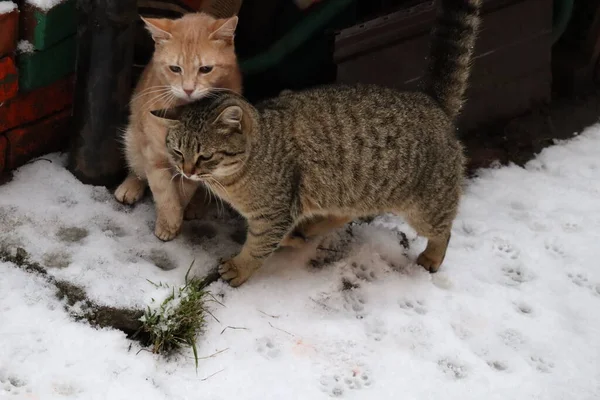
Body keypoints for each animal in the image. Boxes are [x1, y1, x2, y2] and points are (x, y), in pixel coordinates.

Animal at [115, 13, 241, 241]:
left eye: (205, 69)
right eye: (175, 68)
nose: (188, 89)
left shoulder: (197, 161)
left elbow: (184, 188)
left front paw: (175, 216)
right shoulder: (154, 154)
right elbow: (163, 190)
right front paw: (170, 220)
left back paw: (196, 206)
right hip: (133, 138)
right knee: (137, 168)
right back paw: (131, 185)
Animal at [151, 0, 482, 288]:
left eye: (205, 156)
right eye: (178, 151)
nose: (187, 171)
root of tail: (430, 101)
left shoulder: (274, 212)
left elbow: (259, 246)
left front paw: (239, 267)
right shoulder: (283, 210)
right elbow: (278, 236)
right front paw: (295, 237)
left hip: (427, 207)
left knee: (444, 230)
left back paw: (432, 256)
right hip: (352, 190)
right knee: (347, 211)